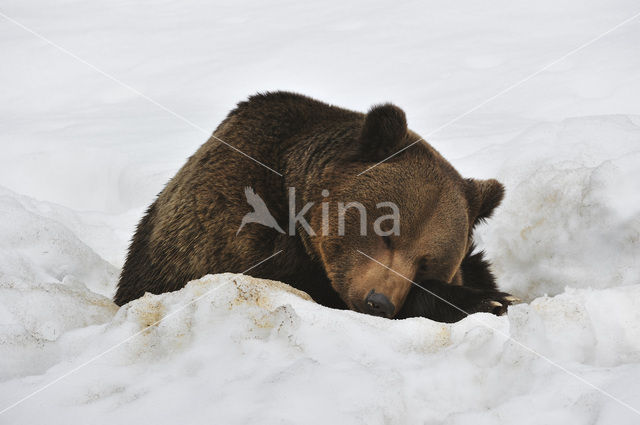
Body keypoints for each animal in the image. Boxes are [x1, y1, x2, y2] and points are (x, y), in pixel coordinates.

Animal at [115, 91, 516, 320]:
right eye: (387, 233)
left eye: (426, 263)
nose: (379, 302)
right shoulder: (231, 237)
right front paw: (488, 301)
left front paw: (493, 296)